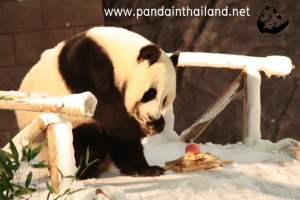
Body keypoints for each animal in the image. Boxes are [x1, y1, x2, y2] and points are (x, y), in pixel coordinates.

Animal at [15, 26, 178, 178]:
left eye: (164, 100)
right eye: (150, 93)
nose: (152, 117)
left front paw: (157, 125)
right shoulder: (88, 67)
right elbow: (113, 119)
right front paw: (146, 167)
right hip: (57, 134)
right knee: (88, 140)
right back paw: (84, 172)